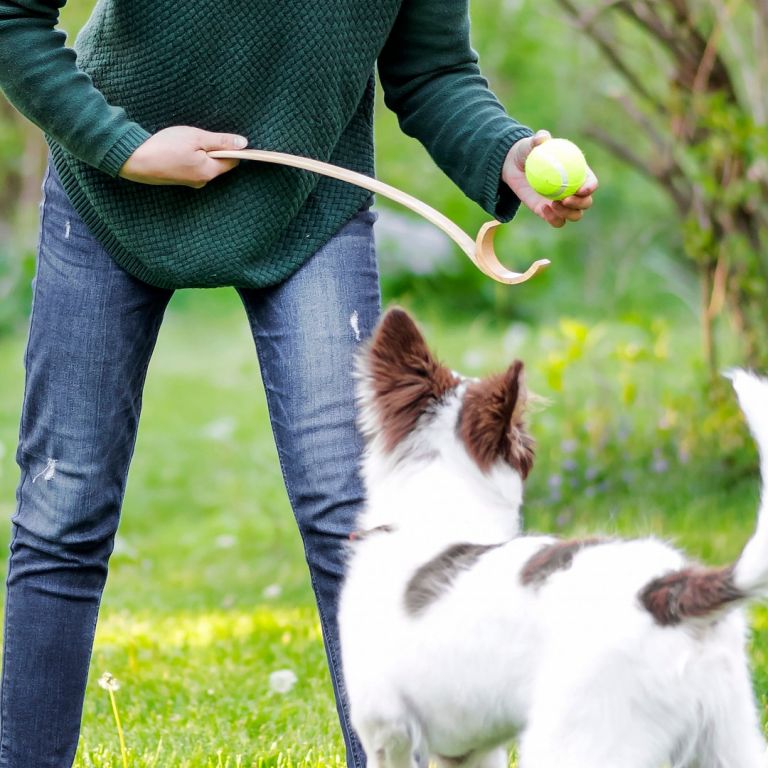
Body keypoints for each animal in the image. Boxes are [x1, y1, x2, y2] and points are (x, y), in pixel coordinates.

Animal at [340, 308, 768, 768]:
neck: (437, 515)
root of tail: (669, 594)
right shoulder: (471, 749)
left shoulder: (387, 730)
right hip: (728, 739)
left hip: (581, 735)